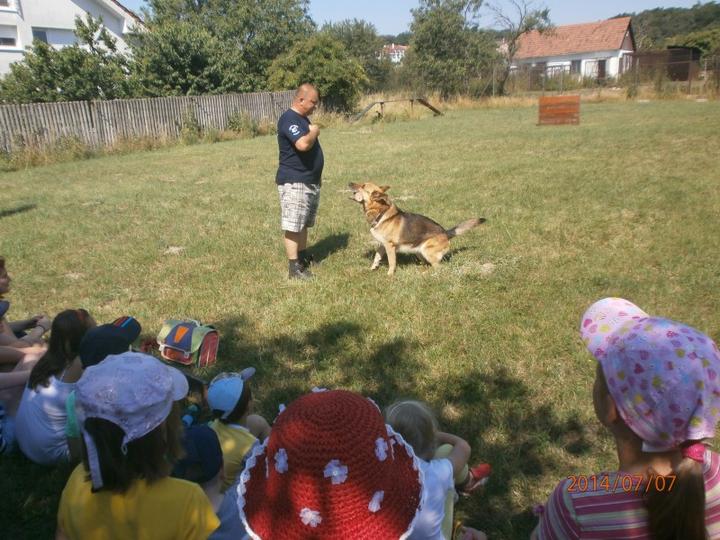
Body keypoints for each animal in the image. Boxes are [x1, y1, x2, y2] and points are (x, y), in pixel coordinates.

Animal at [349, 182, 486, 275]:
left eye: (363, 186)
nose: (349, 183)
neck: (380, 212)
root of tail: (445, 233)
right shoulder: (383, 245)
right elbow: (377, 256)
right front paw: (373, 267)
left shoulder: (390, 246)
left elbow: (392, 262)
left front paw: (390, 275)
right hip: (419, 252)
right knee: (428, 264)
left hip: (427, 251)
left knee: (439, 268)